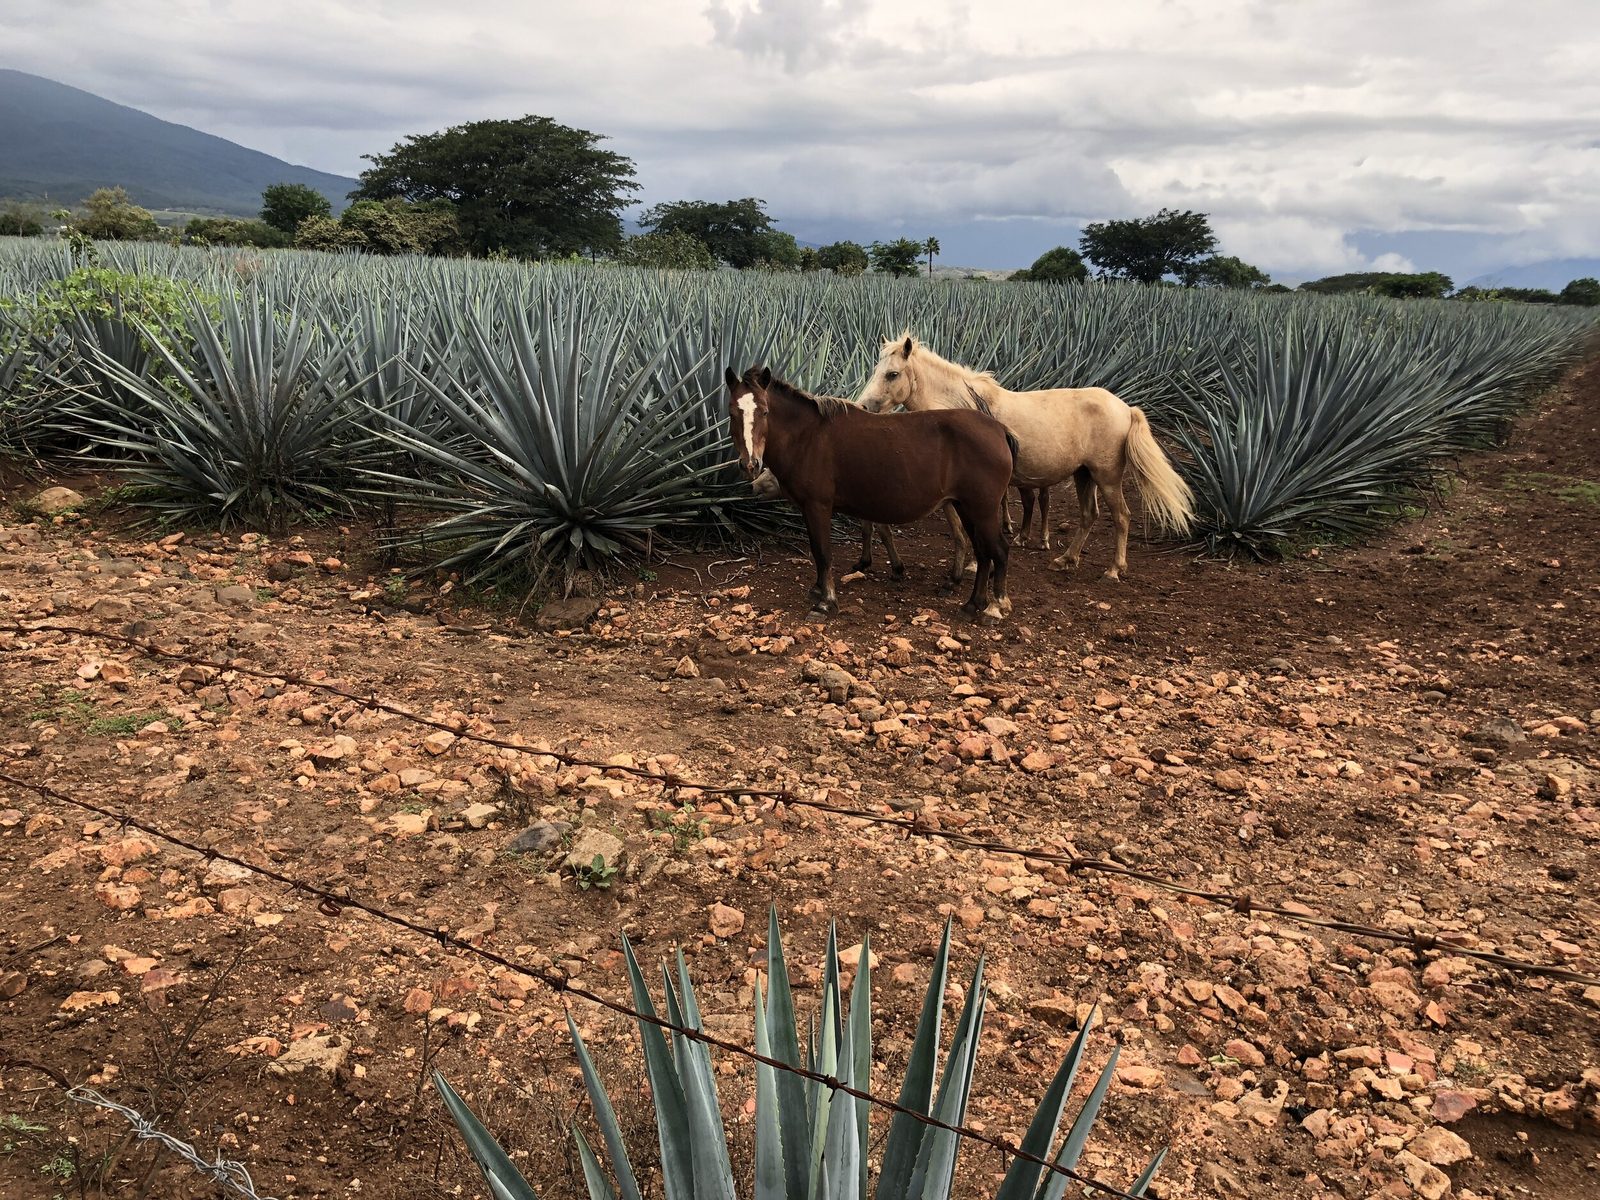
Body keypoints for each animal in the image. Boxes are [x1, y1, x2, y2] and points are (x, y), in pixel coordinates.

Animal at [726, 366, 1014, 620]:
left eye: (764, 411)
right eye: (732, 414)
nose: (750, 465)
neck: (808, 436)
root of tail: (999, 429)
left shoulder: (818, 506)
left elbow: (823, 552)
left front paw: (826, 603)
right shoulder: (808, 509)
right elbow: (818, 550)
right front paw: (818, 590)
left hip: (983, 510)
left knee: (998, 550)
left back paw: (995, 605)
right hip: (967, 508)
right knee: (983, 552)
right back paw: (973, 604)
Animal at [856, 334, 1194, 579]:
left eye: (892, 374)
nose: (862, 407)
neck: (959, 409)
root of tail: (1125, 408)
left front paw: (972, 565)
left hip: (1107, 477)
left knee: (1121, 516)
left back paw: (1113, 569)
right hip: (1084, 475)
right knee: (1089, 516)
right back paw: (1066, 559)